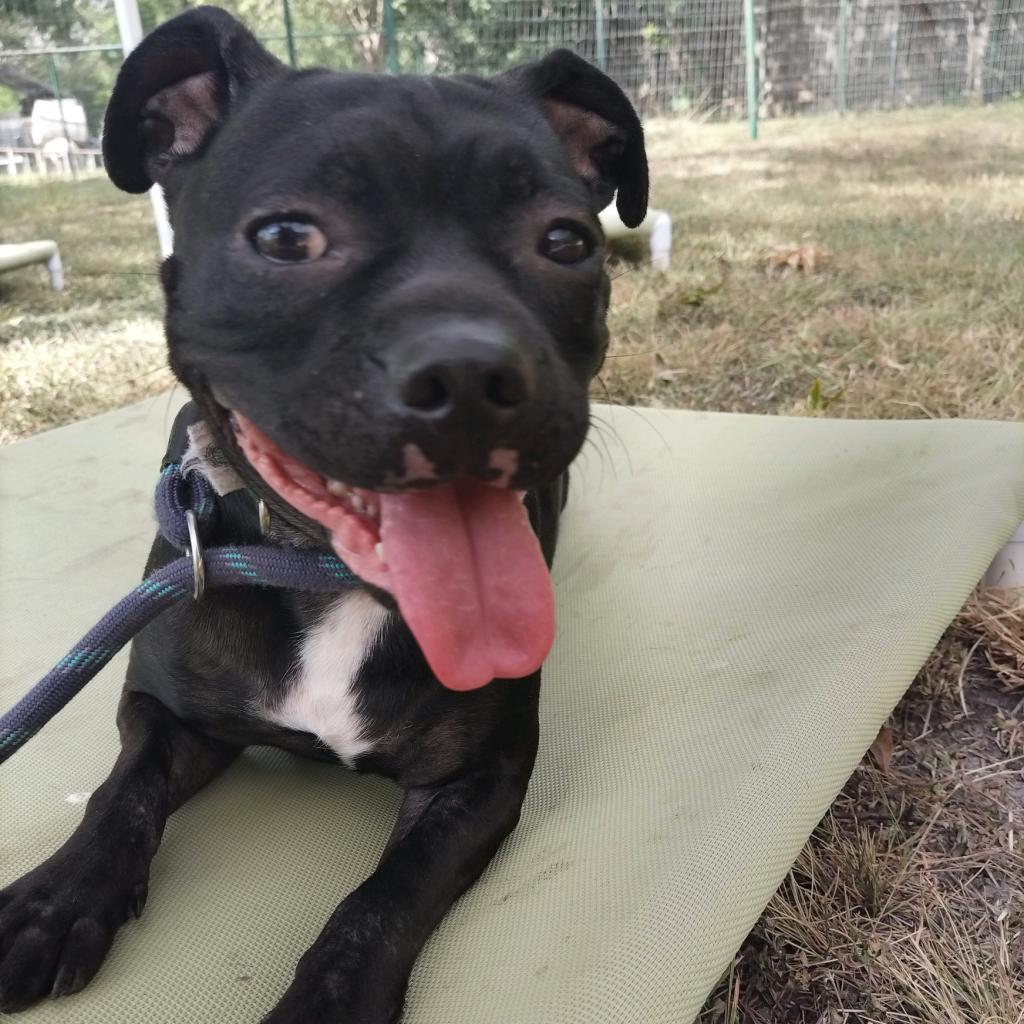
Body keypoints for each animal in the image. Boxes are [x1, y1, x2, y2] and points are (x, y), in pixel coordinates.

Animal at [0, 6, 643, 1015]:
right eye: (284, 237)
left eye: (568, 242)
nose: (470, 375)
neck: (320, 574)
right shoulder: (166, 711)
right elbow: (120, 793)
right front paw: (59, 896)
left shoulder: (479, 776)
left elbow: (382, 897)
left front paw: (327, 1001)